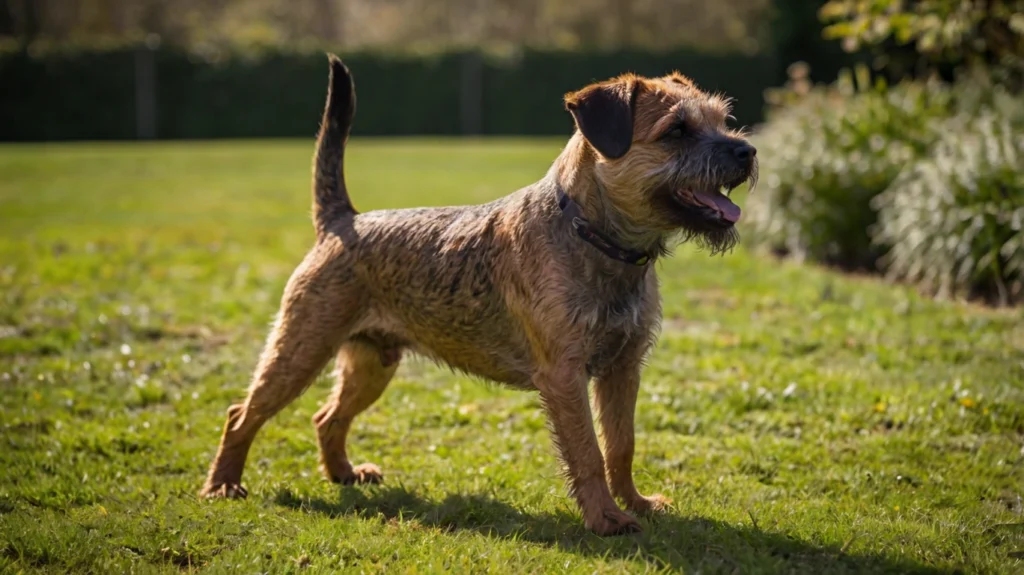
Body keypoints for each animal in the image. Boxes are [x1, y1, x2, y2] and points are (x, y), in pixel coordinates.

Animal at [199, 53, 757, 532]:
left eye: (721, 119)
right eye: (677, 131)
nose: (748, 150)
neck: (593, 237)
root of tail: (343, 221)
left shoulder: (624, 367)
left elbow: (622, 445)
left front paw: (636, 503)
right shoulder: (565, 376)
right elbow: (588, 453)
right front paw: (607, 519)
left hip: (373, 364)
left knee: (326, 417)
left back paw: (344, 474)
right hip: (300, 351)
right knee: (241, 415)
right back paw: (223, 485)